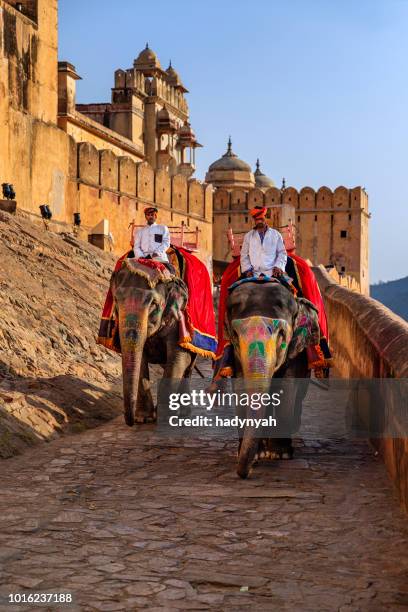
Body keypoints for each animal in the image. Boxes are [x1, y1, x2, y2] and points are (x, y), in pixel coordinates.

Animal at [225, 280, 320, 478]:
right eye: (235, 334)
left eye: (282, 334)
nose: (243, 473)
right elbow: (240, 386)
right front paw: (256, 454)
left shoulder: (295, 351)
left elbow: (287, 387)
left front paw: (280, 454)